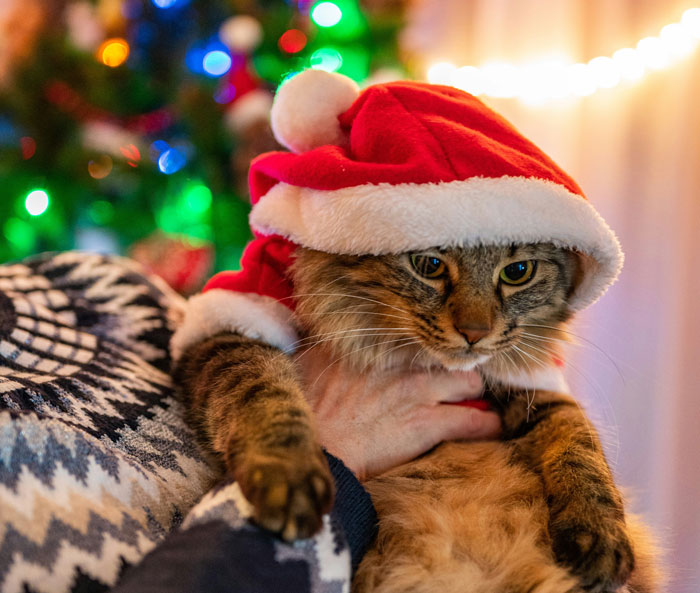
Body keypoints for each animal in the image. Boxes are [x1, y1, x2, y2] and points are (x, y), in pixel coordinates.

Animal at [172, 240, 660, 592]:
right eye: (429, 265)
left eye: (517, 272)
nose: (475, 333)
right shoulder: (230, 339)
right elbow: (268, 399)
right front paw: (288, 478)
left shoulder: (532, 391)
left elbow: (581, 452)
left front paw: (598, 537)